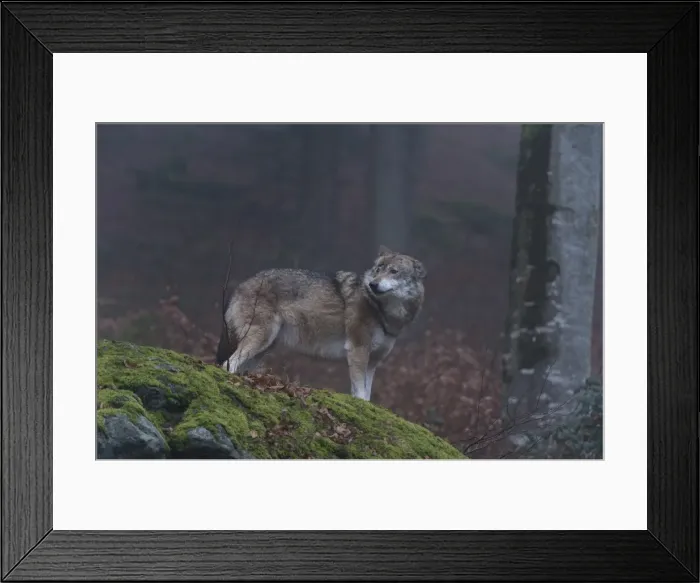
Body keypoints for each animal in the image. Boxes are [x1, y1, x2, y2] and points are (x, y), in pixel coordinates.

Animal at [215, 246, 426, 401]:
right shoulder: (357, 351)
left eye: (393, 271)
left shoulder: (373, 361)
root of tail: (240, 286)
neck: (380, 310)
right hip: (260, 339)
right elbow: (359, 393)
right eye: (378, 269)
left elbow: (367, 394)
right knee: (228, 363)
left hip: (264, 348)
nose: (373, 284)